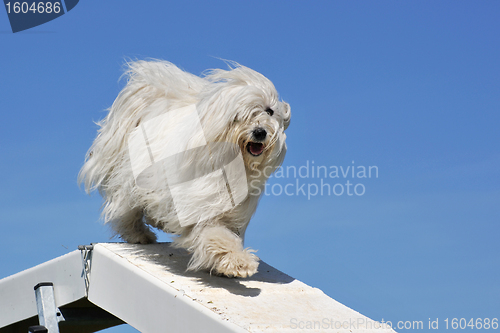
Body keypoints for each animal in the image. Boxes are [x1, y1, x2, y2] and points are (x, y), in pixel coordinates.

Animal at [78, 60, 290, 278]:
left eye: (269, 111)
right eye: (238, 115)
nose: (260, 132)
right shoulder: (201, 205)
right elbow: (216, 235)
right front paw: (238, 262)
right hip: (130, 178)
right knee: (127, 210)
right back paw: (139, 234)